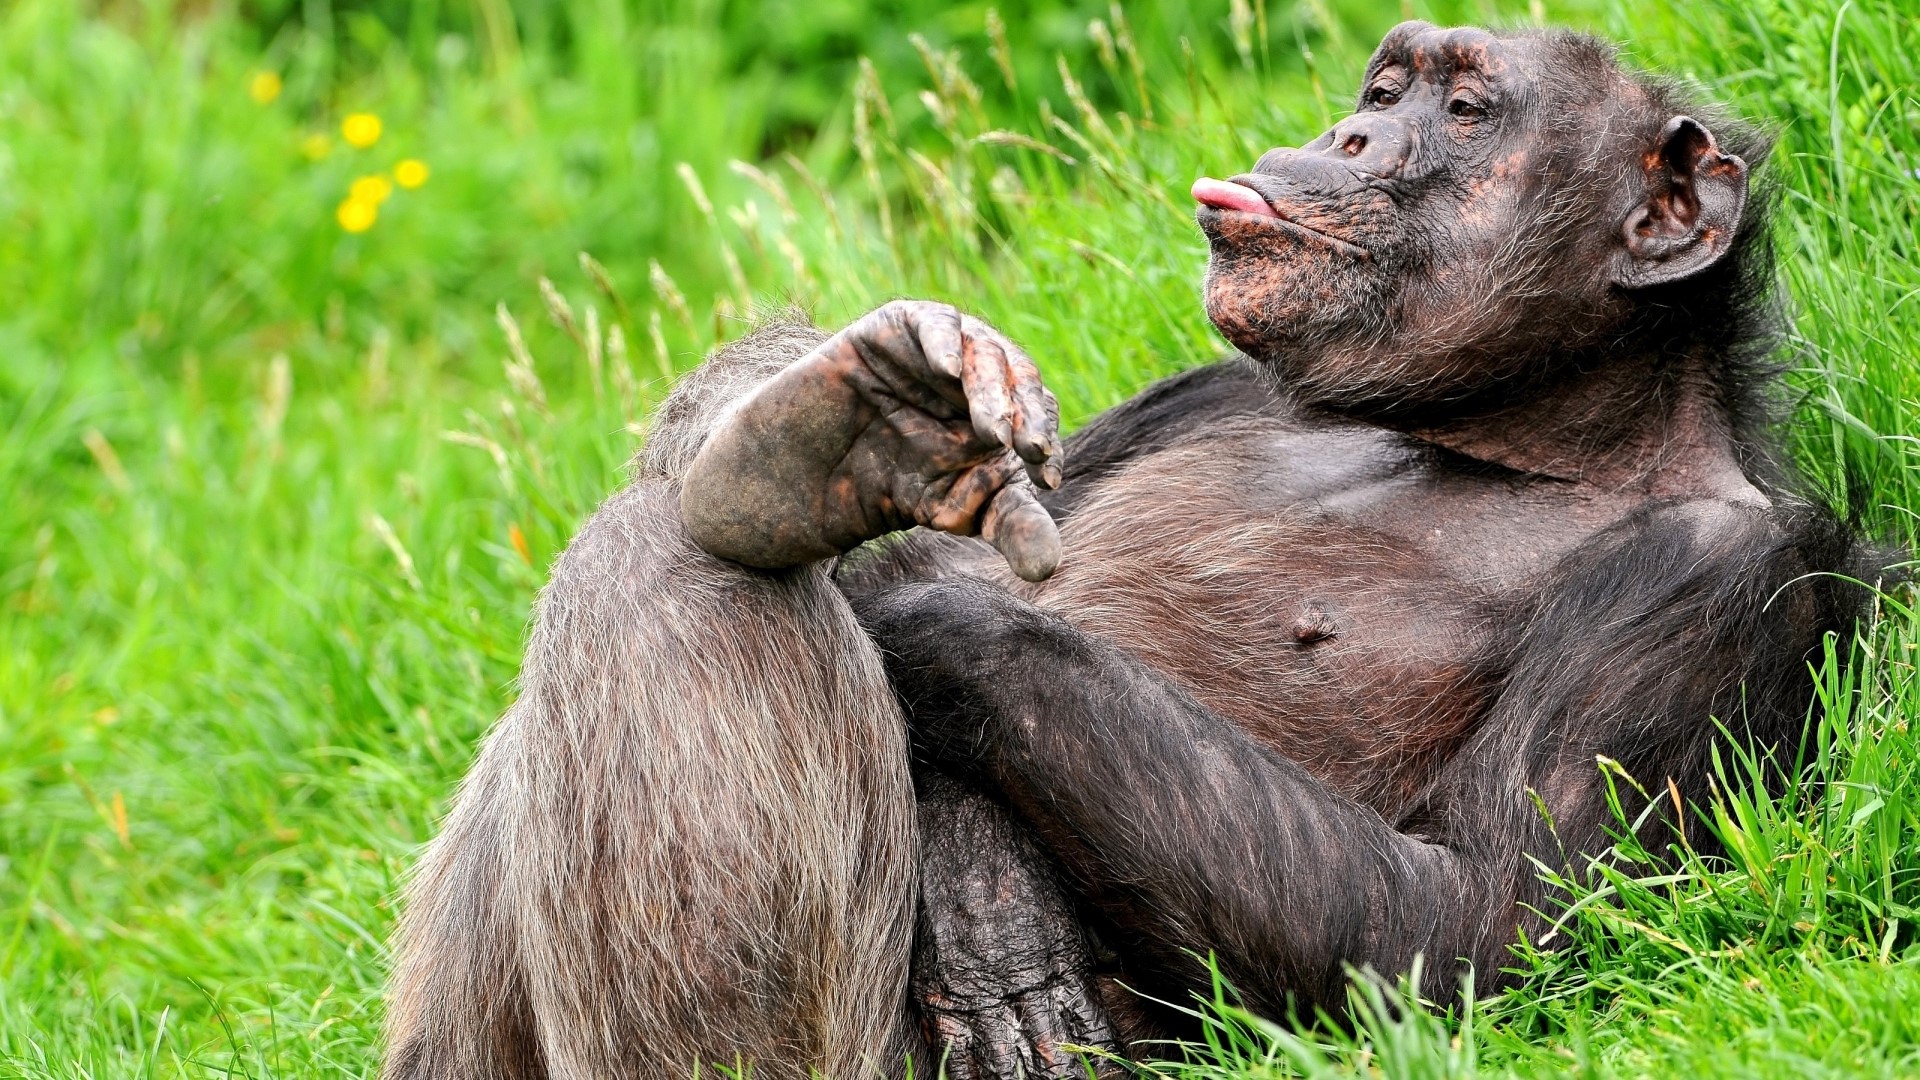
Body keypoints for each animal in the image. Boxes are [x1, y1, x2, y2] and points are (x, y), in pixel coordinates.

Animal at [381, 22, 1885, 1080]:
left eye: (1463, 114)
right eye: (1386, 85)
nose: (1347, 134)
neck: (1505, 435)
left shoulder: (1714, 584)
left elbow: (1470, 930)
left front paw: (935, 648)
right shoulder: (1204, 390)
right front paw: (871, 424)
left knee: (676, 578)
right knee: (671, 537)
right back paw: (808, 457)